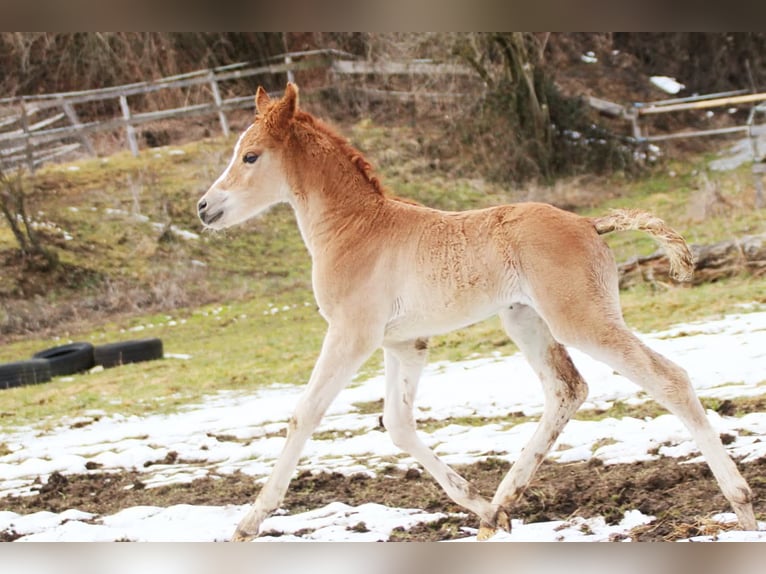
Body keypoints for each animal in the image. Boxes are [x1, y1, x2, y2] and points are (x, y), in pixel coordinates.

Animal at [197, 83, 757, 541]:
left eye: (250, 156)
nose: (204, 208)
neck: (357, 229)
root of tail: (589, 223)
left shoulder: (351, 334)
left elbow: (305, 413)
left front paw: (248, 522)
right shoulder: (404, 342)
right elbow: (397, 423)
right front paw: (479, 506)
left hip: (580, 319)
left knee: (669, 378)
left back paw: (742, 505)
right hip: (524, 319)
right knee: (567, 389)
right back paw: (501, 507)